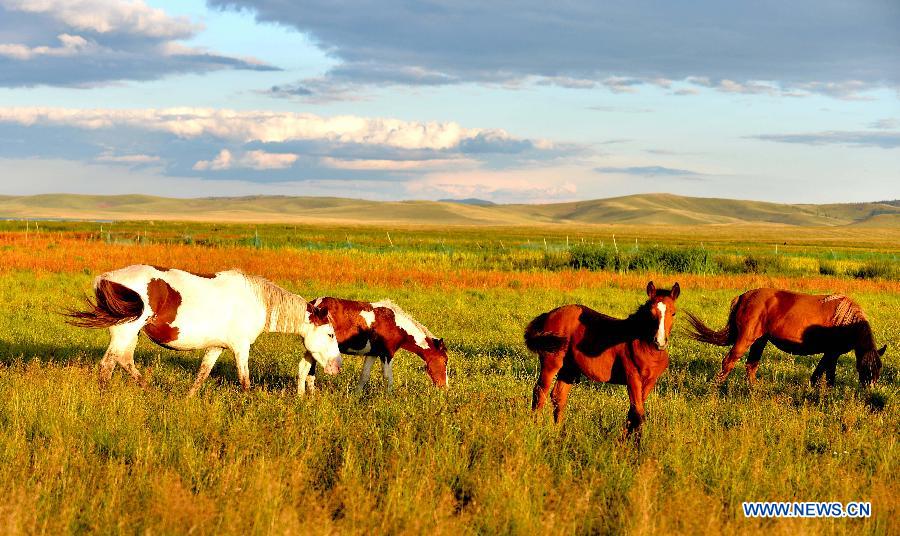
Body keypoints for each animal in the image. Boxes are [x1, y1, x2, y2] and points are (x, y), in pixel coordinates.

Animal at [66, 264, 342, 394]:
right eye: (330, 334)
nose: (337, 367)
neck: (256, 300)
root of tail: (107, 278)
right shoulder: (241, 347)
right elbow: (244, 379)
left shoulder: (216, 347)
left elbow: (202, 374)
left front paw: (187, 399)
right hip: (125, 332)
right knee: (107, 365)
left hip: (130, 333)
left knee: (123, 361)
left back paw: (149, 390)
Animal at [524, 280, 680, 440]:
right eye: (650, 313)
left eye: (673, 313)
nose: (659, 342)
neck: (644, 346)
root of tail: (548, 315)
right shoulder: (632, 378)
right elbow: (638, 413)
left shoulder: (650, 381)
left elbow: (633, 412)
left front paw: (625, 440)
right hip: (551, 363)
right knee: (540, 392)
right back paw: (536, 428)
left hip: (569, 369)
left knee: (558, 396)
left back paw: (560, 433)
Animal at [688, 286, 884, 388]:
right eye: (864, 369)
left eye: (878, 370)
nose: (868, 392)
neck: (847, 321)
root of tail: (744, 297)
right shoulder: (831, 353)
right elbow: (824, 374)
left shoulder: (832, 354)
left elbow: (824, 374)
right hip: (746, 339)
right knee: (729, 361)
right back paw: (716, 388)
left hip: (760, 341)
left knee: (751, 365)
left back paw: (754, 389)